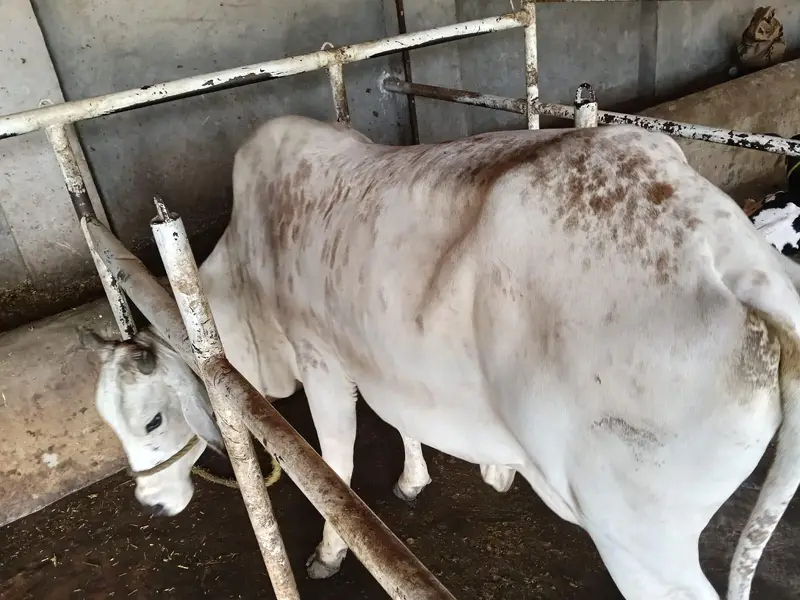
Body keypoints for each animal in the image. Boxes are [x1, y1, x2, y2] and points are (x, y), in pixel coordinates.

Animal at [80, 115, 800, 600]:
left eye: (151, 418)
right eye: (107, 422)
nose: (150, 503)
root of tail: (727, 251)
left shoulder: (320, 359)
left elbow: (334, 463)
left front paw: (329, 554)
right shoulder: (384, 356)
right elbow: (402, 418)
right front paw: (417, 477)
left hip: (641, 541)